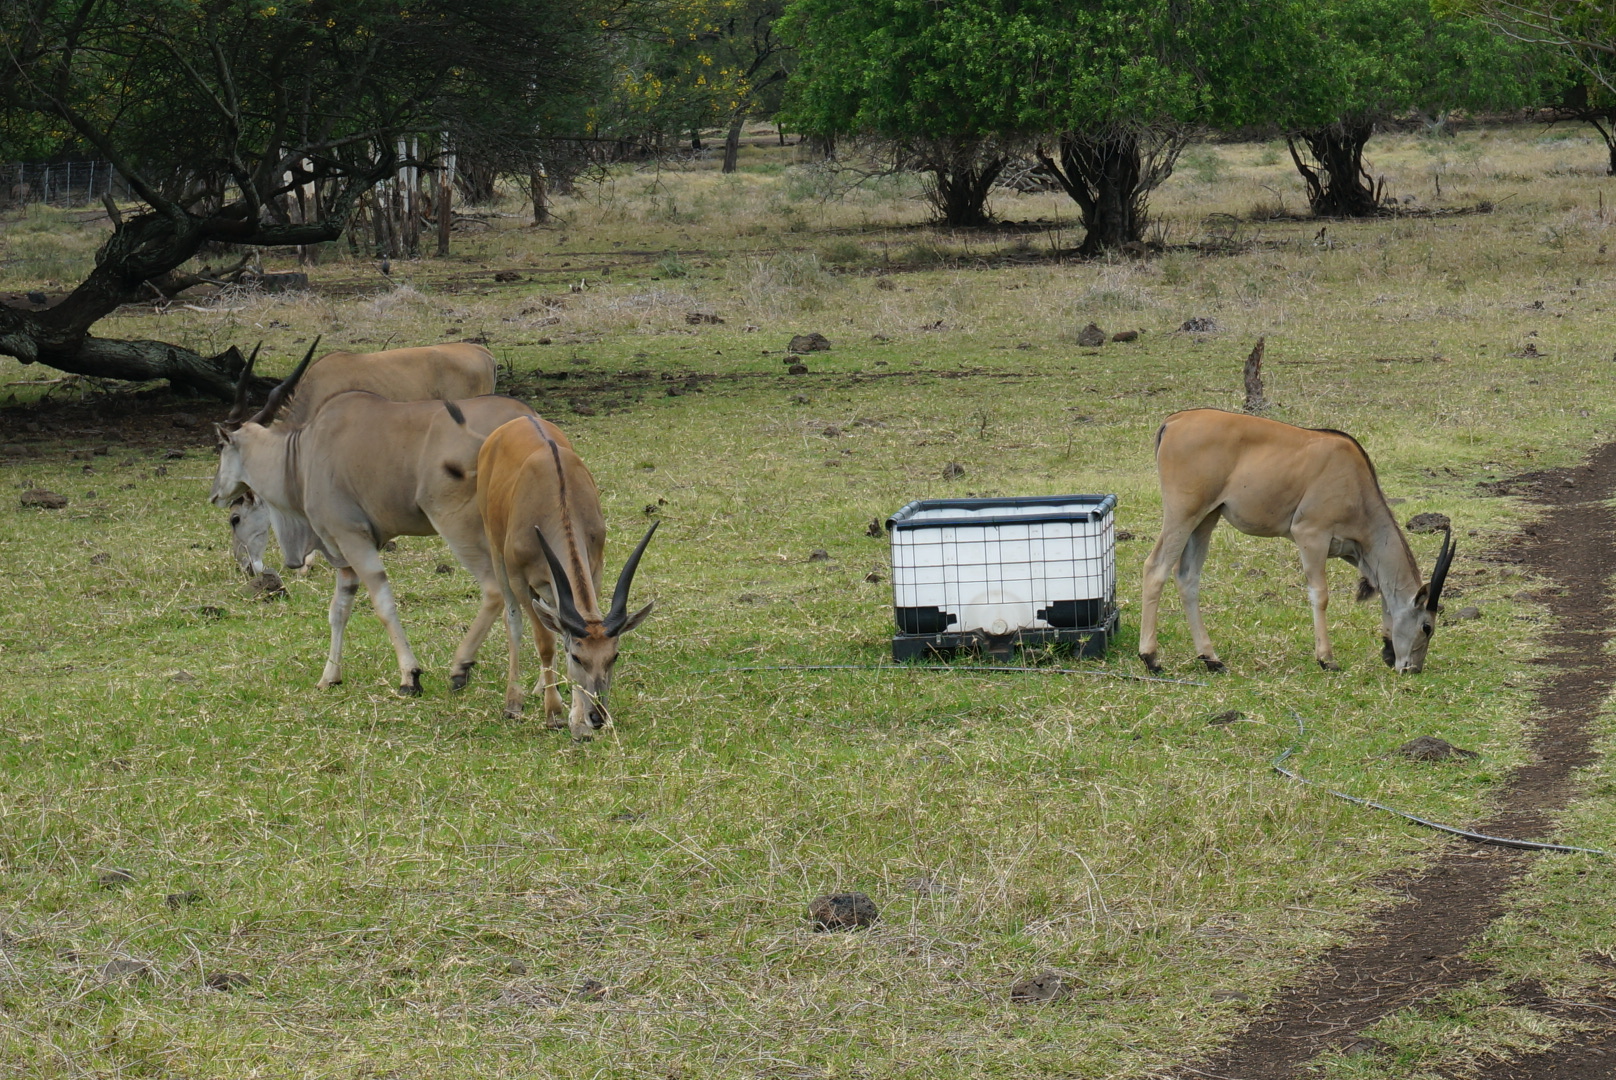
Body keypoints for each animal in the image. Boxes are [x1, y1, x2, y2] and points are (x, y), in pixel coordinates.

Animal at [206, 350, 536, 695]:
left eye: (235, 519)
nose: (215, 495)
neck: (300, 455)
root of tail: (530, 421)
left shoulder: (353, 539)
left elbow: (383, 604)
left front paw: (410, 676)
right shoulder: (344, 557)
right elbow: (338, 610)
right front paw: (330, 676)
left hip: (461, 528)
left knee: (496, 591)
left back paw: (461, 667)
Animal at [475, 417, 652, 737]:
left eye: (614, 656)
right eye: (577, 658)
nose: (598, 716)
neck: (558, 499)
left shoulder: (595, 568)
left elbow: (562, 629)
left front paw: (577, 719)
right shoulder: (520, 580)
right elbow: (544, 640)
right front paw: (554, 712)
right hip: (496, 551)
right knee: (513, 619)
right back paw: (514, 700)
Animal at [1137, 407, 1454, 669]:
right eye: (1427, 627)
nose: (1412, 669)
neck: (1356, 486)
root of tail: (1173, 421)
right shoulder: (1311, 535)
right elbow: (1320, 595)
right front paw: (1326, 658)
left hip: (1206, 519)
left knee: (1188, 577)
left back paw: (1210, 658)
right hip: (1183, 513)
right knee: (1155, 568)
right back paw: (1151, 657)